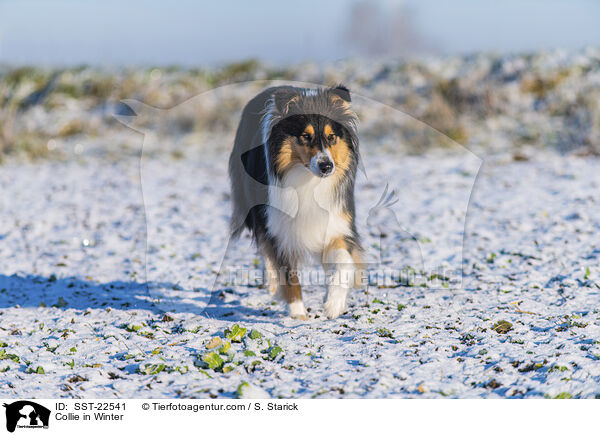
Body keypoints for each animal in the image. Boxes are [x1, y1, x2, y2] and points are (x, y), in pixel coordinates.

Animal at [229, 84, 360, 320]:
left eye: (332, 137)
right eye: (305, 136)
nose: (327, 166)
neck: (308, 181)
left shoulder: (335, 222)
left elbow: (344, 262)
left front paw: (334, 303)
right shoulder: (281, 229)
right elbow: (289, 275)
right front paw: (298, 315)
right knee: (265, 248)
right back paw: (272, 283)